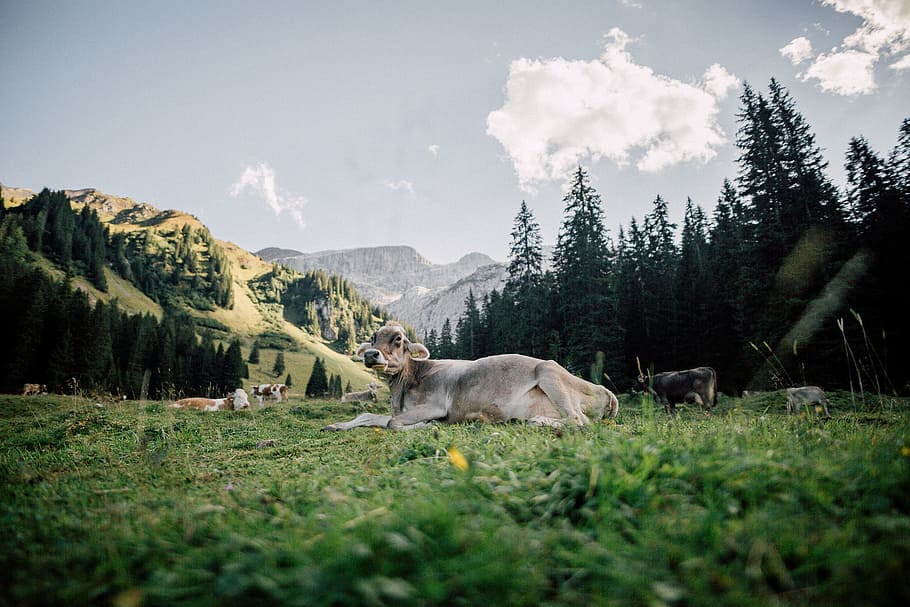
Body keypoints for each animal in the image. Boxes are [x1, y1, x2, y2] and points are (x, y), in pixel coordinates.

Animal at [324, 321, 619, 431]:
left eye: (398, 339)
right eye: (373, 338)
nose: (371, 354)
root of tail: (605, 391)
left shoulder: (435, 405)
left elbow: (392, 423)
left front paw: (427, 426)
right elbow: (372, 416)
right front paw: (337, 425)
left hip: (548, 371)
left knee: (578, 420)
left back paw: (535, 420)